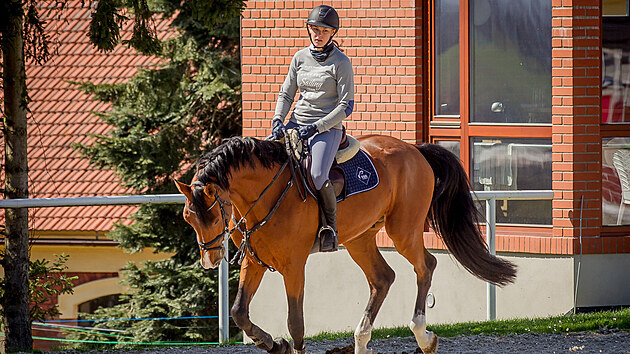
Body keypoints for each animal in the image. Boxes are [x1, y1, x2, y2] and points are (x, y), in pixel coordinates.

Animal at [174, 134, 520, 352]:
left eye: (212, 217)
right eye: (188, 219)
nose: (209, 260)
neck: (265, 195)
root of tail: (414, 149)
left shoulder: (294, 266)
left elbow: (296, 323)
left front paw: (285, 344)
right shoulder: (255, 261)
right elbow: (239, 312)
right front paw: (274, 345)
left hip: (403, 231)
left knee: (426, 266)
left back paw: (422, 335)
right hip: (359, 238)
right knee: (383, 278)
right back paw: (362, 340)